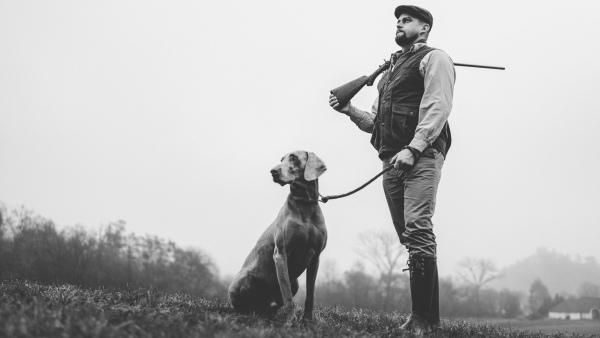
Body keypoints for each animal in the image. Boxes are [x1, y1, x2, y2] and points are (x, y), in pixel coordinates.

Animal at [227, 151, 328, 322]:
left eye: (294, 157)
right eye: (281, 159)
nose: (273, 171)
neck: (305, 205)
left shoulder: (316, 257)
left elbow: (310, 295)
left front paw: (307, 321)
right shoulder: (281, 254)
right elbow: (287, 295)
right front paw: (291, 322)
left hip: (296, 283)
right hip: (243, 278)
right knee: (246, 307)